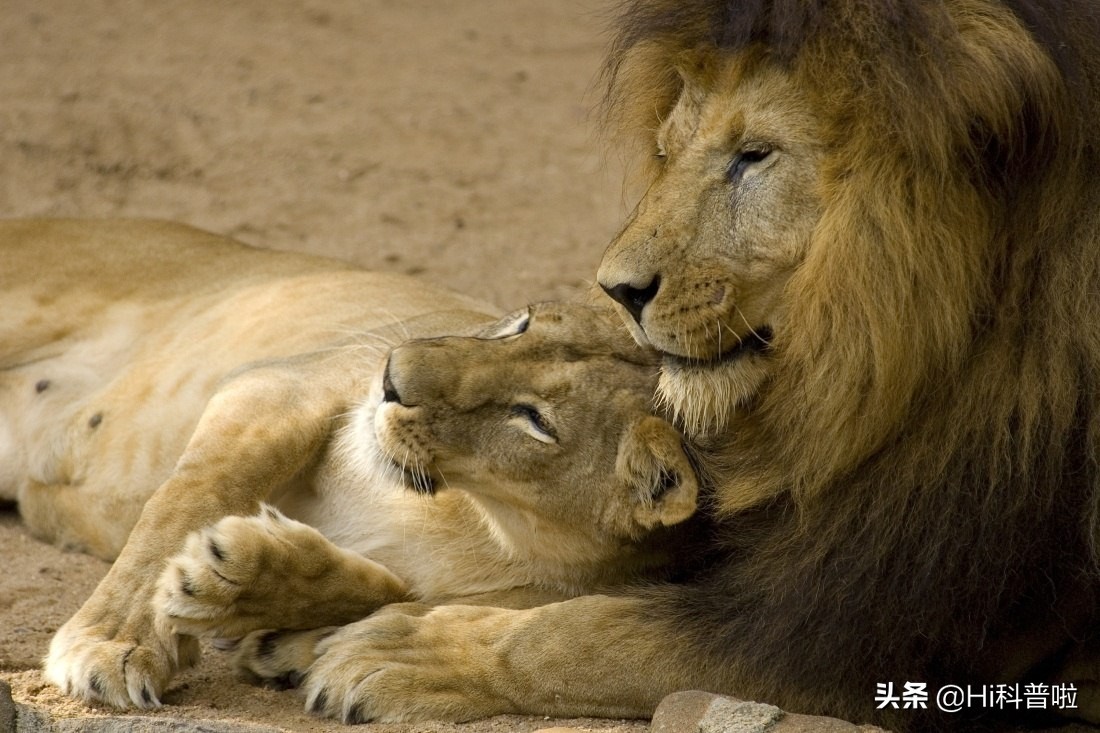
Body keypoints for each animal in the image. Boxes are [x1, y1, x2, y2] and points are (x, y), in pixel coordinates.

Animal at [0, 217, 699, 708]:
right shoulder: (283, 386)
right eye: (518, 325)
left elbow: (389, 592)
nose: (391, 375)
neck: (483, 522)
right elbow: (189, 499)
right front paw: (112, 643)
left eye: (534, 419)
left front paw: (255, 596)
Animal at [238, 2, 1100, 726]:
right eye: (668, 148)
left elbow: (591, 634)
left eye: (754, 156)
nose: (618, 289)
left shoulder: (893, 625)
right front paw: (304, 619)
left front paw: (405, 648)